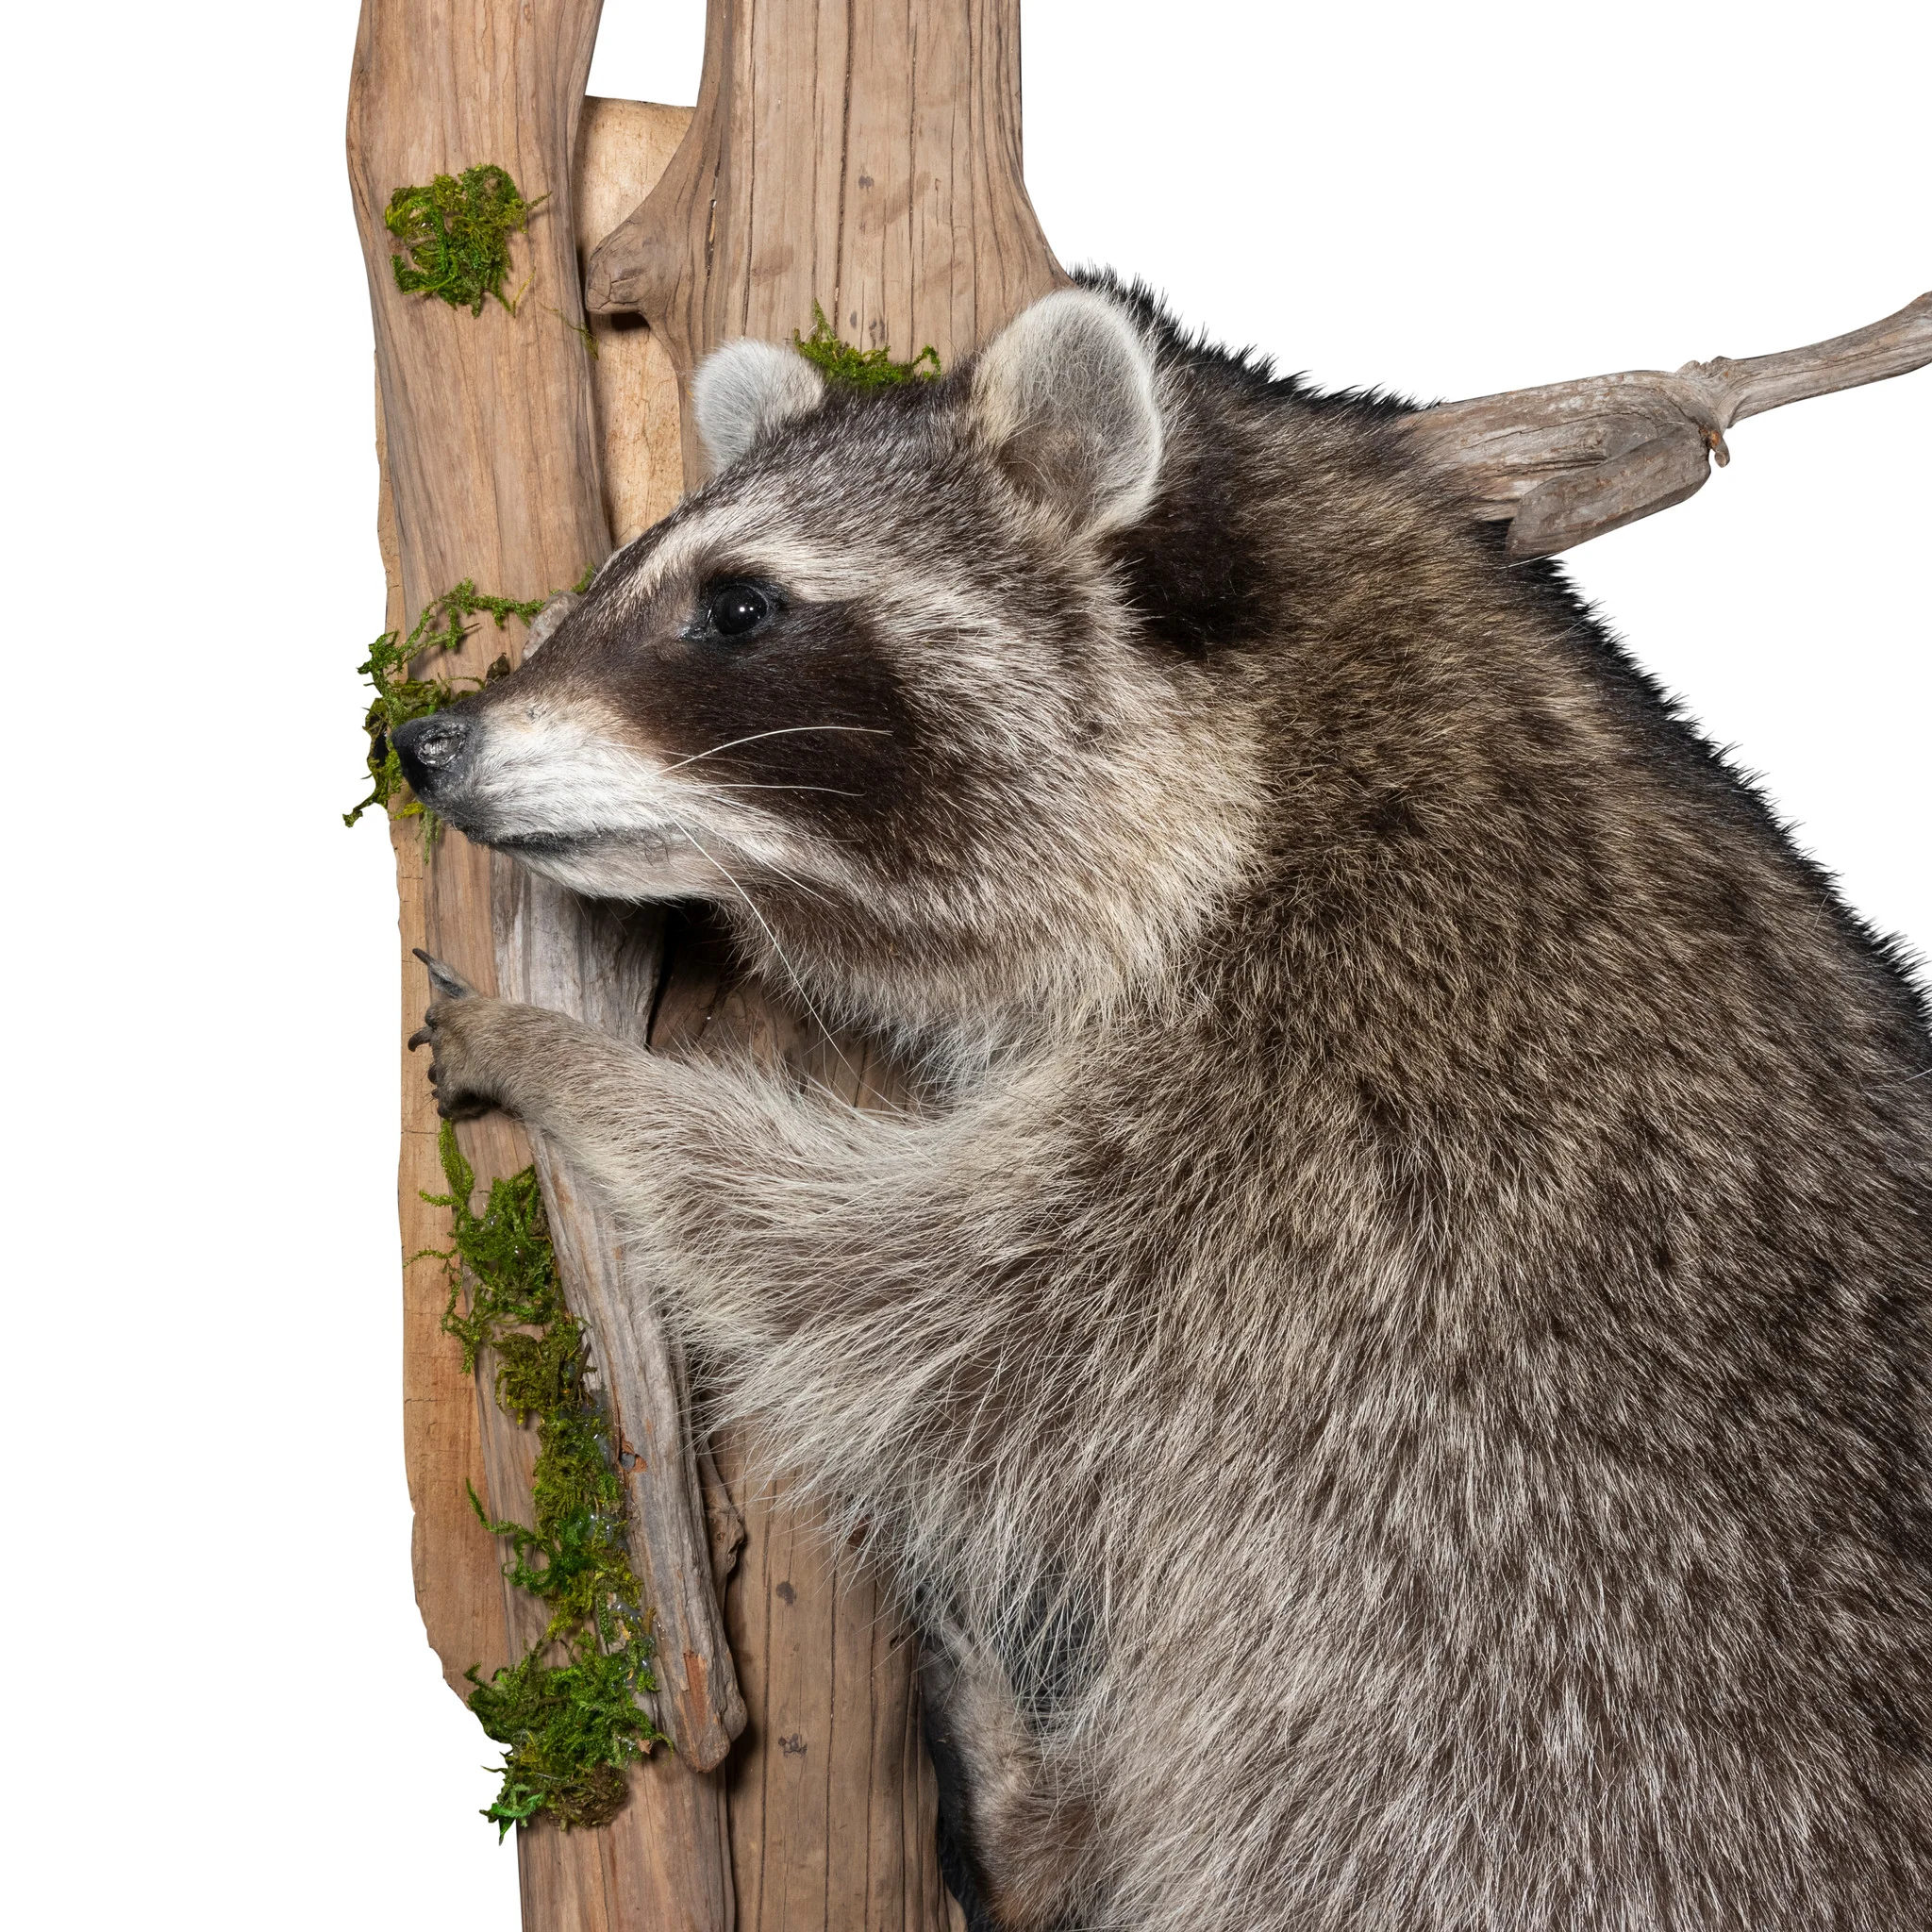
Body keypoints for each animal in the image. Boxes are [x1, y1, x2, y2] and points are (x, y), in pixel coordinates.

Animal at [398, 279, 1932, 1931]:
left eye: (738, 606)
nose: (423, 741)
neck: (1281, 749)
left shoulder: (1324, 1126)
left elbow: (890, 1293)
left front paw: (585, 1073)